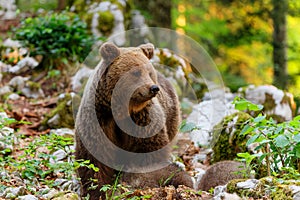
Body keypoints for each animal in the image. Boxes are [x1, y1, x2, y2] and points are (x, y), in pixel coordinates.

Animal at [75, 41, 192, 198]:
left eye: (149, 72)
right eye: (136, 72)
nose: (153, 88)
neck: (120, 111)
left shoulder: (142, 121)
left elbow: (148, 152)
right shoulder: (98, 120)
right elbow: (94, 160)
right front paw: (97, 191)